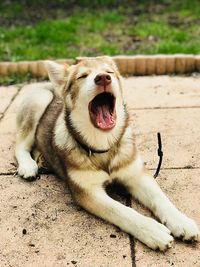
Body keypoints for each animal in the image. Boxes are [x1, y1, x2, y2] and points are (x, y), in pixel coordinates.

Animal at [14, 56, 199, 251]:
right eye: (82, 76)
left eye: (109, 72)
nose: (103, 78)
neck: (103, 147)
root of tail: (47, 84)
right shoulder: (88, 191)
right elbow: (121, 210)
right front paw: (151, 230)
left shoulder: (136, 174)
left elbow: (160, 198)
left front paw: (181, 221)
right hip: (39, 100)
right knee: (20, 145)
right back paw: (28, 166)